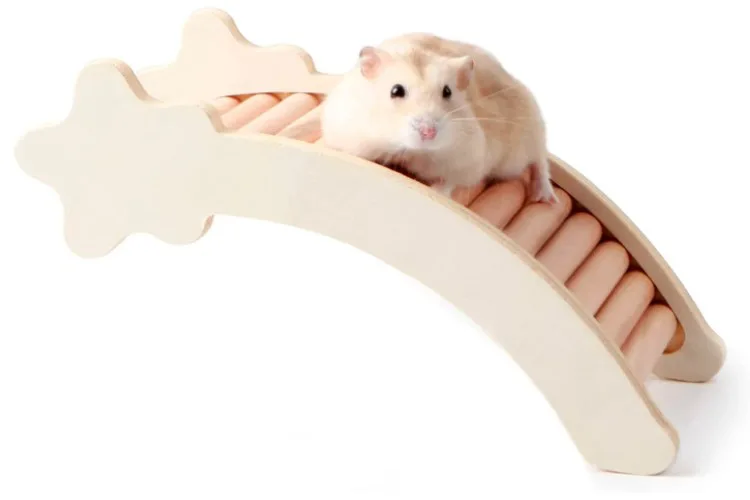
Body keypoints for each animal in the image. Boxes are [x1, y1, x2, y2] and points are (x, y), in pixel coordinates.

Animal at [319, 33, 557, 203]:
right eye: (396, 90)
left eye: (447, 92)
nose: (428, 132)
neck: (411, 150)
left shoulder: (470, 160)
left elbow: (450, 181)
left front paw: (435, 192)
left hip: (530, 133)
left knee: (540, 162)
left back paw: (545, 198)